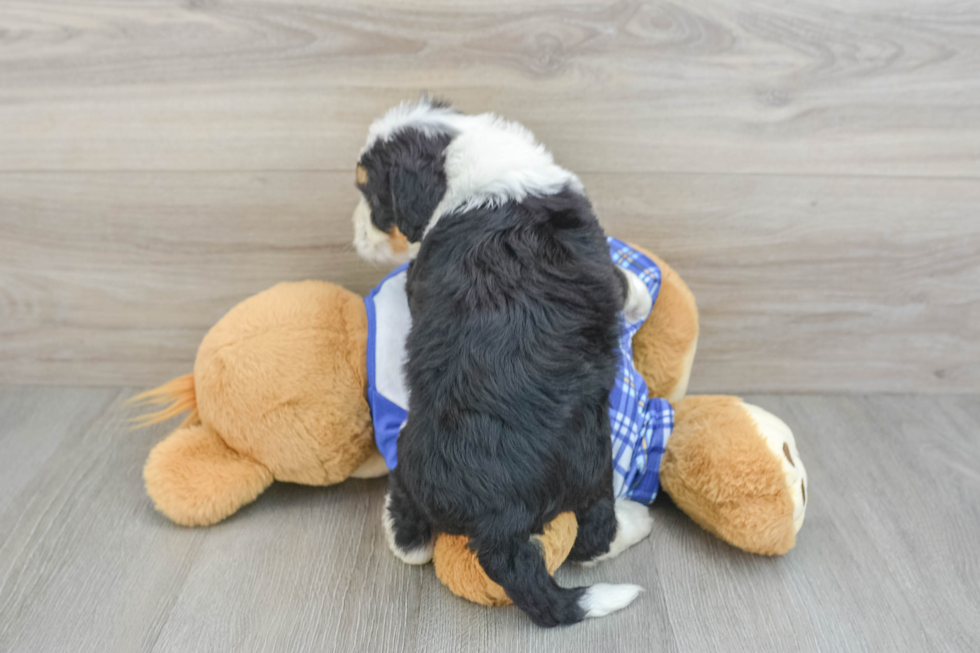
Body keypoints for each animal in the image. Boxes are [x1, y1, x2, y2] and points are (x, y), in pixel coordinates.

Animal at [350, 98, 652, 628]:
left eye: (371, 196)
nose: (355, 235)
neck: (457, 149)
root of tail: (498, 522)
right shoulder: (597, 256)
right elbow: (623, 282)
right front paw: (639, 297)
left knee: (416, 540)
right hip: (592, 459)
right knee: (592, 537)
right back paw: (637, 521)